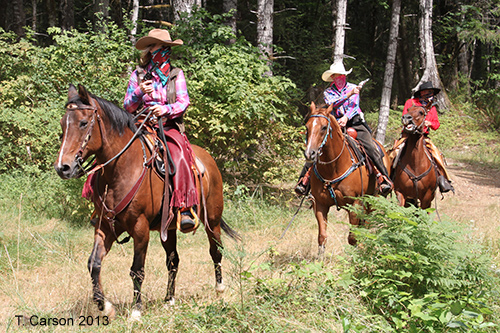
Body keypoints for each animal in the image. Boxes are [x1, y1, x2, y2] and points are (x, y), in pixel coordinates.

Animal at [55, 85, 239, 320]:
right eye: (63, 124)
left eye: (83, 123)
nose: (63, 167)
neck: (120, 169)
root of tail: (208, 159)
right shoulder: (104, 226)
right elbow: (94, 264)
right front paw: (105, 306)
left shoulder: (140, 228)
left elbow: (137, 270)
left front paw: (136, 311)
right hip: (168, 228)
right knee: (173, 260)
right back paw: (169, 299)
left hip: (212, 220)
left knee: (216, 251)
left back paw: (220, 289)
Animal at [302, 102, 392, 253]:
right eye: (307, 127)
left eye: (324, 127)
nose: (310, 154)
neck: (333, 168)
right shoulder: (320, 204)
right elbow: (322, 237)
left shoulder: (356, 204)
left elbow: (353, 238)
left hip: (373, 200)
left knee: (366, 225)